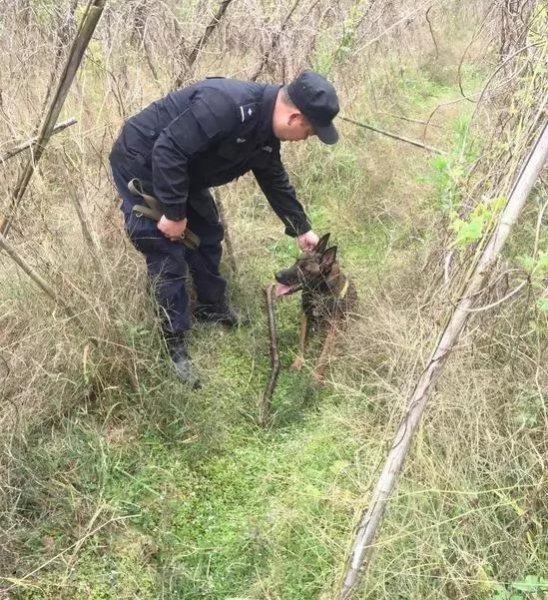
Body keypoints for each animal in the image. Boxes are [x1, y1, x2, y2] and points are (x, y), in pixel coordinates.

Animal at [272, 232, 358, 382]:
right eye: (296, 262)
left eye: (304, 269)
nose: (277, 275)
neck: (319, 293)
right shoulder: (305, 316)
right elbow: (301, 344)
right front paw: (298, 364)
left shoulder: (334, 327)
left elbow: (324, 354)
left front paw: (316, 375)